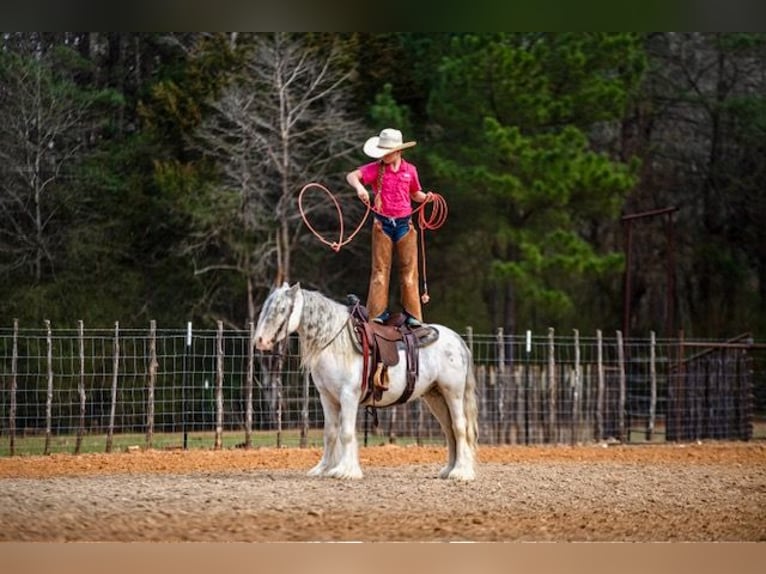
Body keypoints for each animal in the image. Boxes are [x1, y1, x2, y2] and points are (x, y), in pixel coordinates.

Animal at [254, 282, 478, 480]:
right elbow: (331, 433)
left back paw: (461, 472)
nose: (260, 341)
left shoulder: (348, 395)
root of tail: (457, 339)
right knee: (449, 430)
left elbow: (345, 433)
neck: (336, 343)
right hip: (435, 396)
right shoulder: (328, 397)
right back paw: (448, 470)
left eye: (282, 309)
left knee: (459, 427)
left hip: (453, 392)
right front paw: (324, 468)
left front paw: (345, 471)